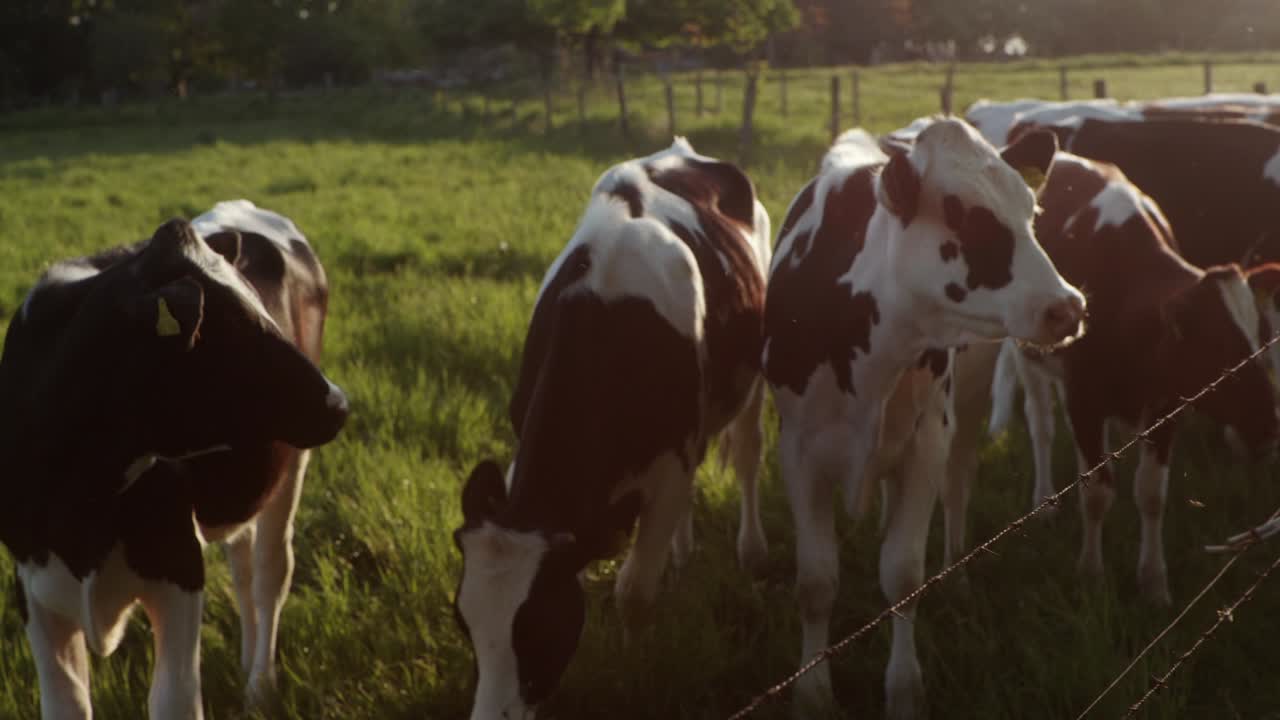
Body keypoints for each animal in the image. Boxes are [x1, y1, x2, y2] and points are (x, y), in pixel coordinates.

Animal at [0, 201, 349, 720]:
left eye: (259, 307)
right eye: (229, 330)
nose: (339, 403)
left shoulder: (180, 567)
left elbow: (175, 700)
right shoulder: (33, 587)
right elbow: (66, 706)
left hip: (291, 470)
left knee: (270, 574)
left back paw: (260, 686)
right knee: (244, 567)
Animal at [453, 138, 771, 720]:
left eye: (540, 627)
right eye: (463, 621)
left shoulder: (669, 466)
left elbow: (634, 592)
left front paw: (632, 669)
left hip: (753, 376)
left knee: (748, 454)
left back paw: (752, 550)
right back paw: (682, 554)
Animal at [762, 119, 1084, 719]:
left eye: (1030, 212)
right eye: (971, 220)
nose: (1067, 307)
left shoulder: (926, 443)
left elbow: (903, 574)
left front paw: (904, 688)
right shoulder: (798, 450)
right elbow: (815, 582)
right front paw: (812, 691)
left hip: (966, 408)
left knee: (957, 487)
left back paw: (955, 570)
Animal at [949, 153, 1279, 606]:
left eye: (1261, 336)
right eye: (1216, 348)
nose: (1268, 427)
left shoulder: (1165, 406)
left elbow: (1151, 494)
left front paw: (1154, 582)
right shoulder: (1083, 400)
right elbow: (1096, 493)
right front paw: (1091, 575)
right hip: (1029, 356)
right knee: (1041, 423)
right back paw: (1045, 501)